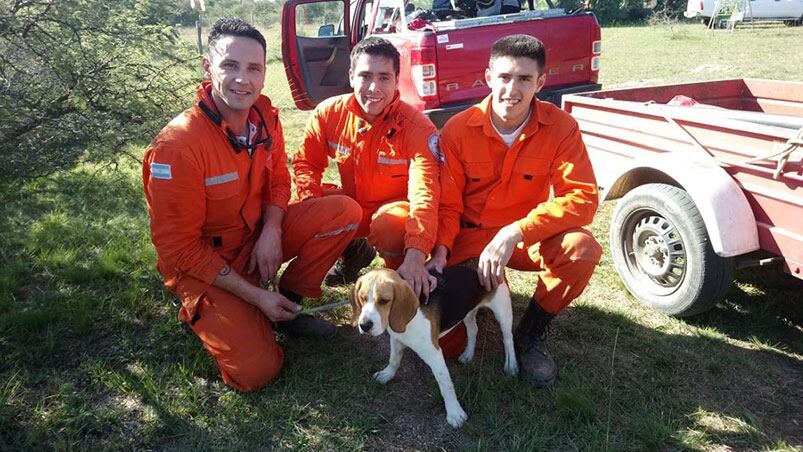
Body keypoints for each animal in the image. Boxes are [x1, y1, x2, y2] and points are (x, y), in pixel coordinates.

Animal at [348, 264, 520, 428]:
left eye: (384, 301)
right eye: (362, 298)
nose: (364, 325)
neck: (411, 318)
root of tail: (480, 269)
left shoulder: (434, 353)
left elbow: (445, 385)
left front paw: (455, 413)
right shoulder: (397, 339)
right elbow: (394, 360)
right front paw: (387, 374)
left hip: (503, 311)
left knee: (508, 339)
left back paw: (511, 366)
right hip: (468, 312)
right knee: (473, 330)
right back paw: (468, 355)